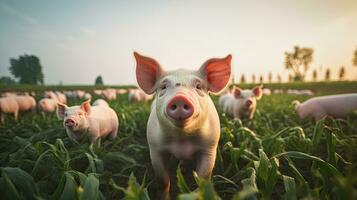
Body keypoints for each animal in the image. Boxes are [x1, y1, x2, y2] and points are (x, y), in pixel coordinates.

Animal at [134, 51, 231, 198]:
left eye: (198, 86)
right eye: (163, 86)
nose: (180, 98)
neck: (182, 139)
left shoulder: (209, 148)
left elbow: (203, 178)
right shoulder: (155, 148)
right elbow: (163, 181)